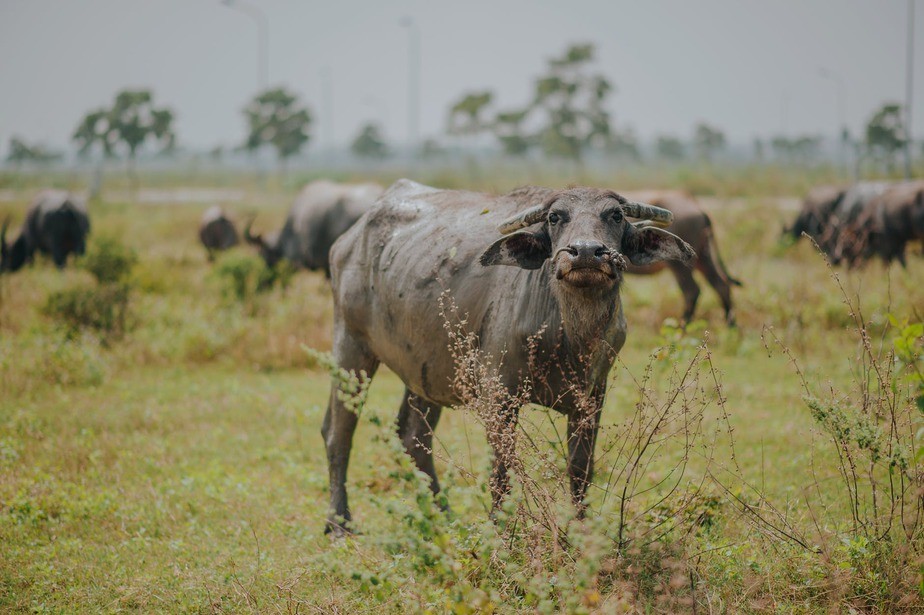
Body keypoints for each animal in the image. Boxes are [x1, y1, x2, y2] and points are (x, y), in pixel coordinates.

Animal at [324, 178, 692, 536]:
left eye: (615, 215)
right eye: (555, 217)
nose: (586, 251)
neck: (568, 335)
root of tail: (347, 241)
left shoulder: (592, 396)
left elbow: (580, 468)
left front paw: (580, 529)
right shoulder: (497, 394)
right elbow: (502, 470)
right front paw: (500, 531)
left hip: (426, 371)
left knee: (413, 437)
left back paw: (443, 516)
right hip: (351, 350)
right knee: (338, 433)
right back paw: (340, 522)